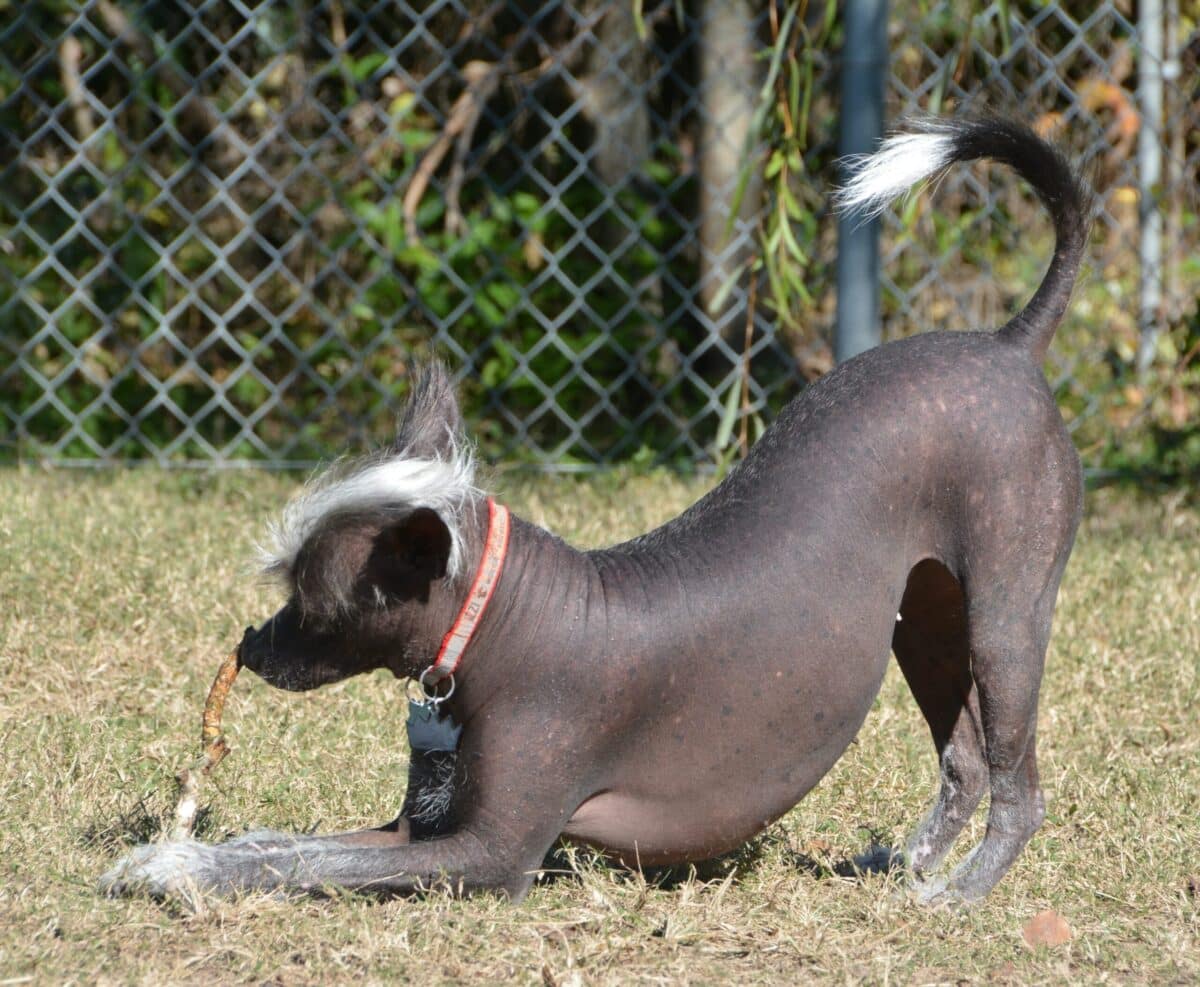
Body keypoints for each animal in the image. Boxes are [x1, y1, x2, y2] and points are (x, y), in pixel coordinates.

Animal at [103, 115, 1094, 902]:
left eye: (312, 600)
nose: (248, 645)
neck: (497, 617)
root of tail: (1010, 344)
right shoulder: (422, 830)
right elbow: (293, 843)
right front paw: (195, 847)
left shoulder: (488, 854)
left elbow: (302, 863)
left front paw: (178, 868)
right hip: (922, 620)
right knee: (964, 762)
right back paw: (906, 868)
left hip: (1005, 613)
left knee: (1019, 785)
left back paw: (960, 894)